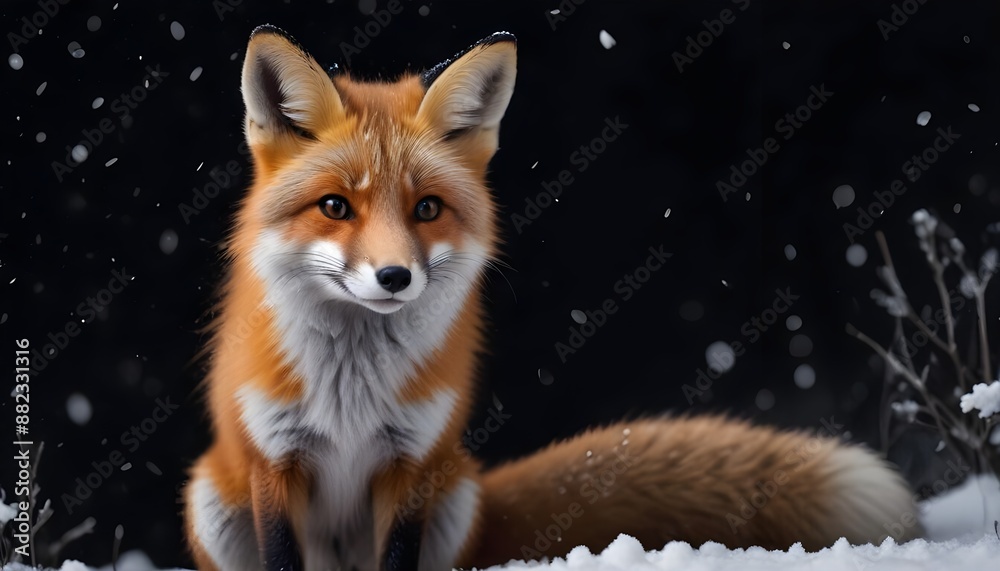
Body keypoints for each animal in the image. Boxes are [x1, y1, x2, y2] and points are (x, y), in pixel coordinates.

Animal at [182, 25, 923, 571]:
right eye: (335, 206)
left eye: (427, 209)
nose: (395, 277)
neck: (351, 394)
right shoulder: (274, 461)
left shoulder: (411, 464)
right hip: (213, 498)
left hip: (453, 493)